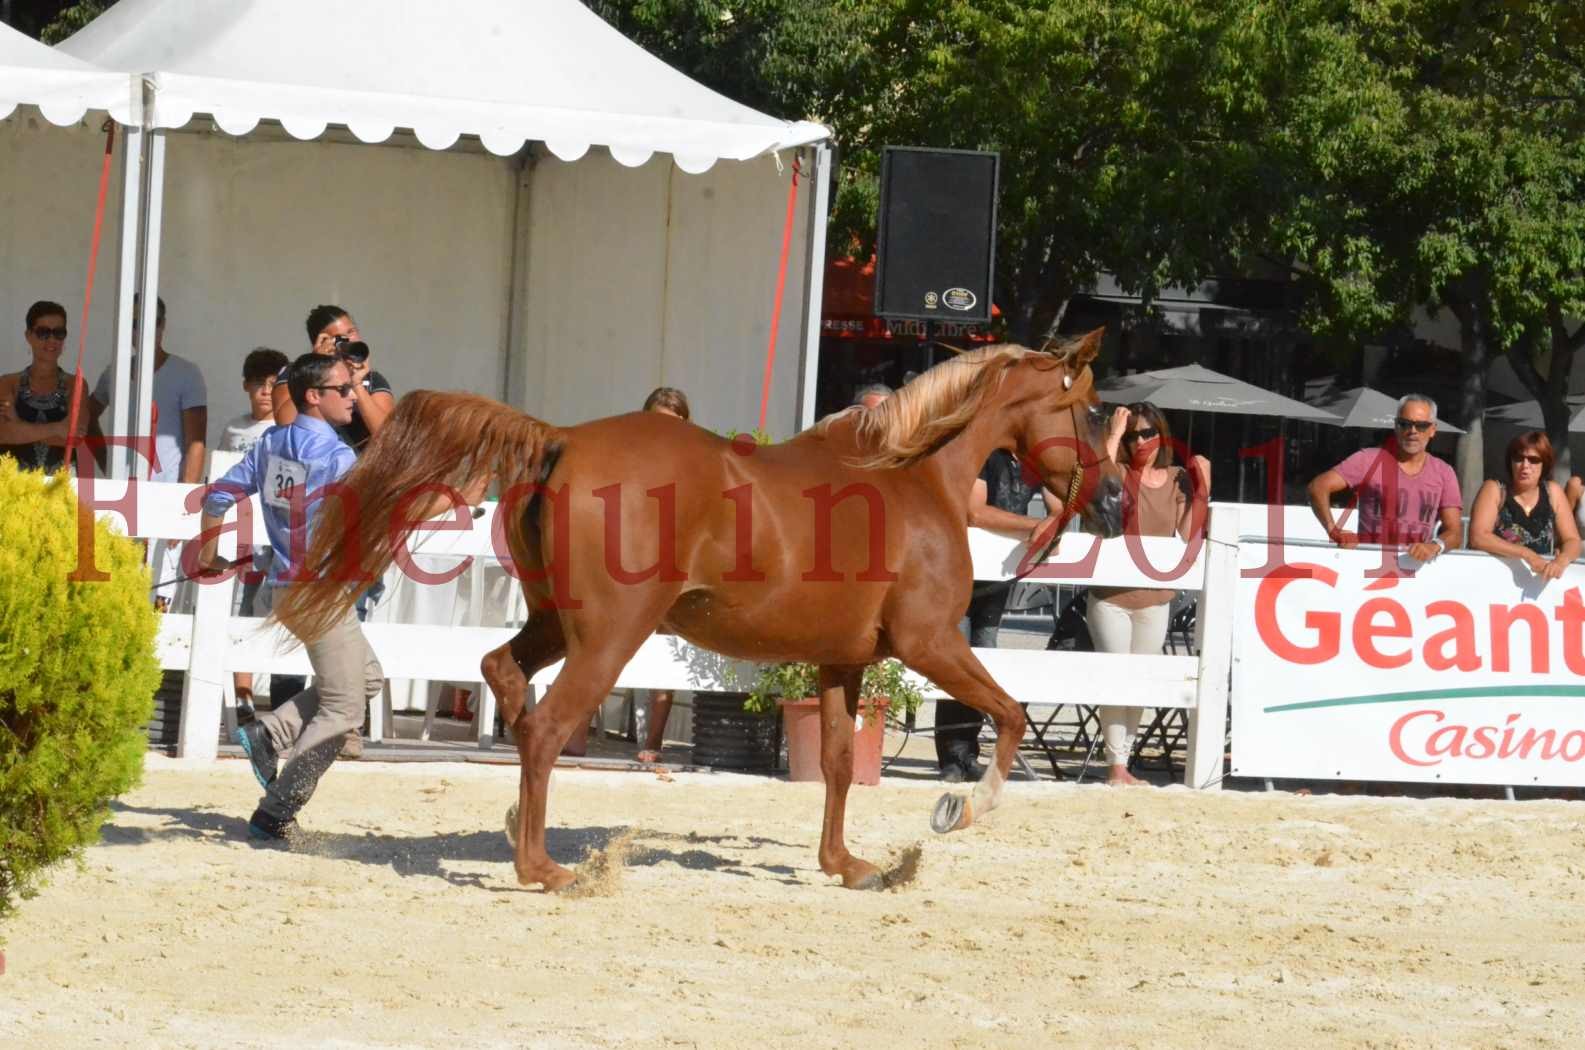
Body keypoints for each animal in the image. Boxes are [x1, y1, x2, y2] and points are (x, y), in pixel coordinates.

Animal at [282, 329, 1128, 888]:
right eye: (1092, 412)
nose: (1116, 502)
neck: (913, 479)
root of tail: (561, 440)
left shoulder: (841, 659)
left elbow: (835, 764)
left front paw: (845, 864)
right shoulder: (929, 644)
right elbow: (1009, 714)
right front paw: (958, 809)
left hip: (556, 624)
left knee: (506, 681)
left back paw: (521, 827)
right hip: (610, 637)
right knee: (547, 728)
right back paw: (545, 868)